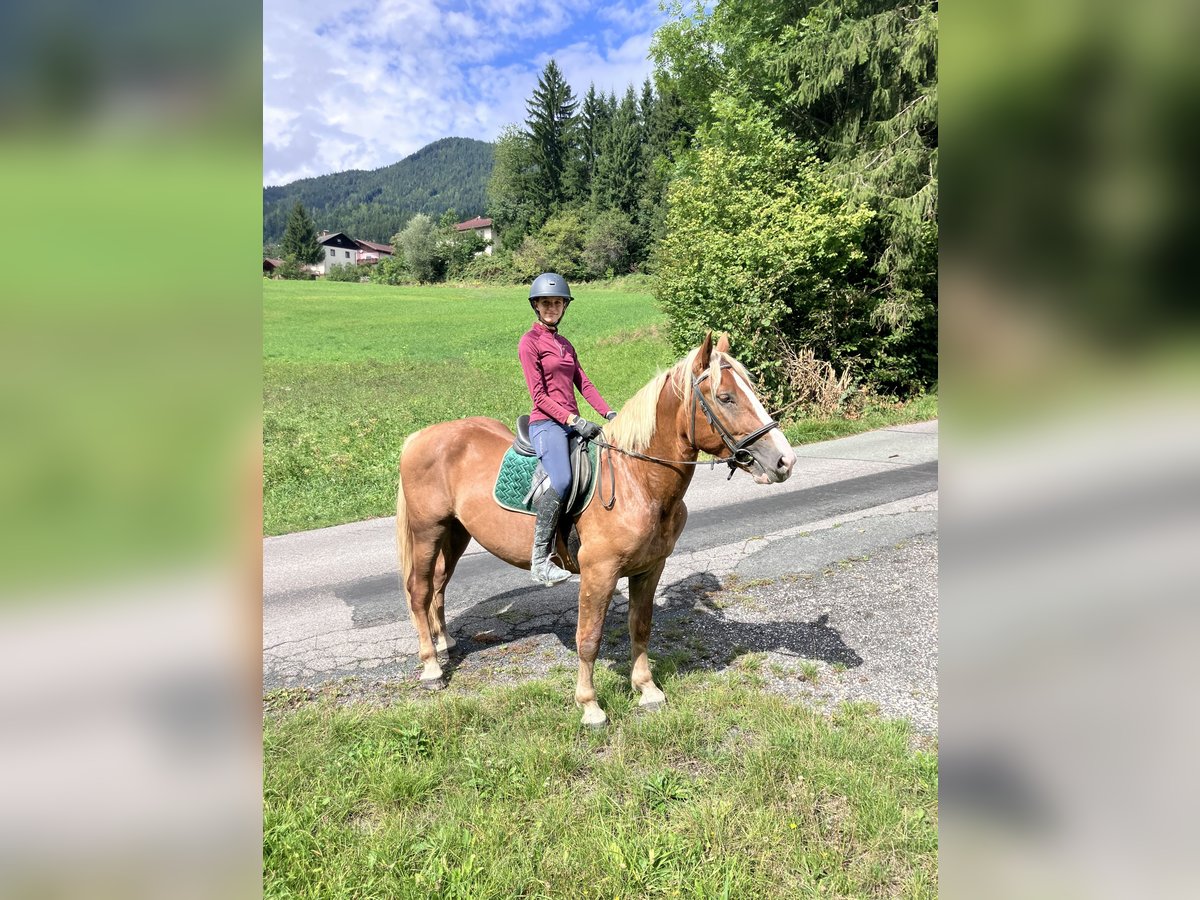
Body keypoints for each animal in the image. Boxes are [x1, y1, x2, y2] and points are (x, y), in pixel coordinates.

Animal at [395, 331, 797, 726]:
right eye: (726, 398)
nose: (784, 460)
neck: (636, 479)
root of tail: (419, 437)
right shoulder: (598, 572)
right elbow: (588, 638)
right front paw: (590, 706)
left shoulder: (650, 568)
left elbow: (641, 626)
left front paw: (647, 689)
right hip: (428, 531)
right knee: (419, 590)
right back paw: (431, 668)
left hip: (456, 532)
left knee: (439, 585)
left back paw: (445, 642)